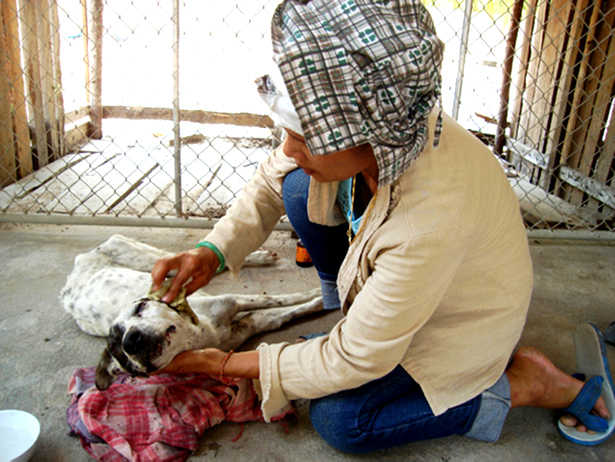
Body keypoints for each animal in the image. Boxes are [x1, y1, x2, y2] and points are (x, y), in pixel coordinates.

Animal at [60, 235, 324, 390]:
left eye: (140, 307)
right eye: (123, 357)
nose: (132, 340)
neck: (197, 333)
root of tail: (68, 286)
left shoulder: (234, 301)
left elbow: (281, 299)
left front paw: (320, 293)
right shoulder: (247, 324)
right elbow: (284, 311)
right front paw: (318, 301)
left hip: (144, 257)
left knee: (193, 259)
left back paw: (259, 257)